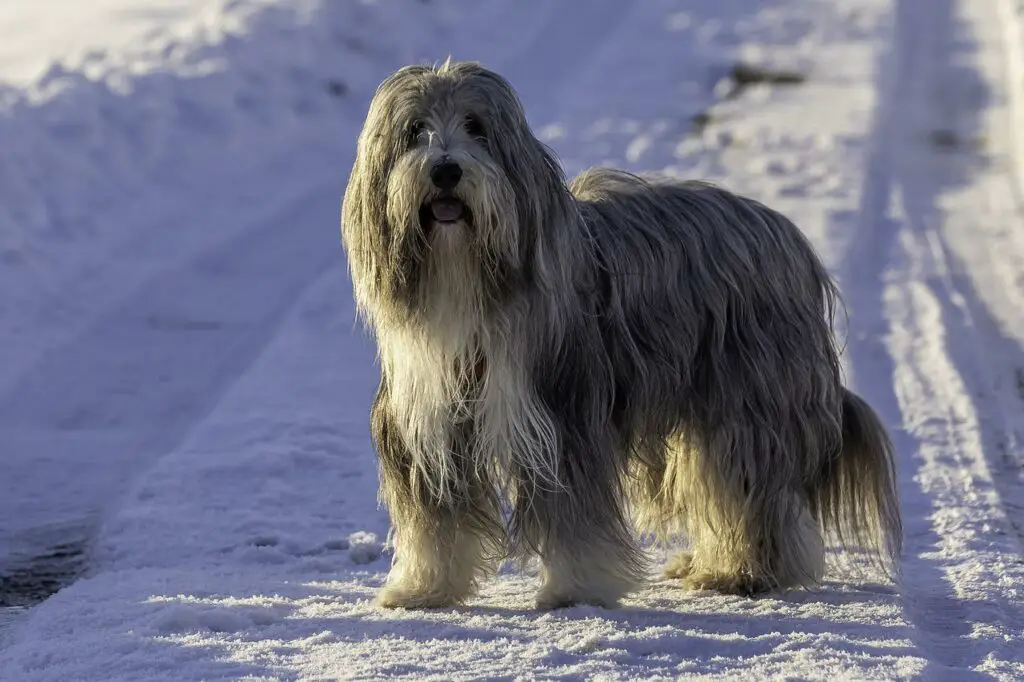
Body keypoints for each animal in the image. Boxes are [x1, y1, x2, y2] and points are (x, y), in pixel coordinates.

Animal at [339, 58, 901, 606]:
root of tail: (788, 237)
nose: (446, 170)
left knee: (751, 488)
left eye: (477, 127)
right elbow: (435, 521)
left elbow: (576, 517)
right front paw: (424, 587)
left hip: (748, 399)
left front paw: (575, 590)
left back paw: (745, 571)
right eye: (414, 130)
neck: (466, 281)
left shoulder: (563, 416)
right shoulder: (429, 424)